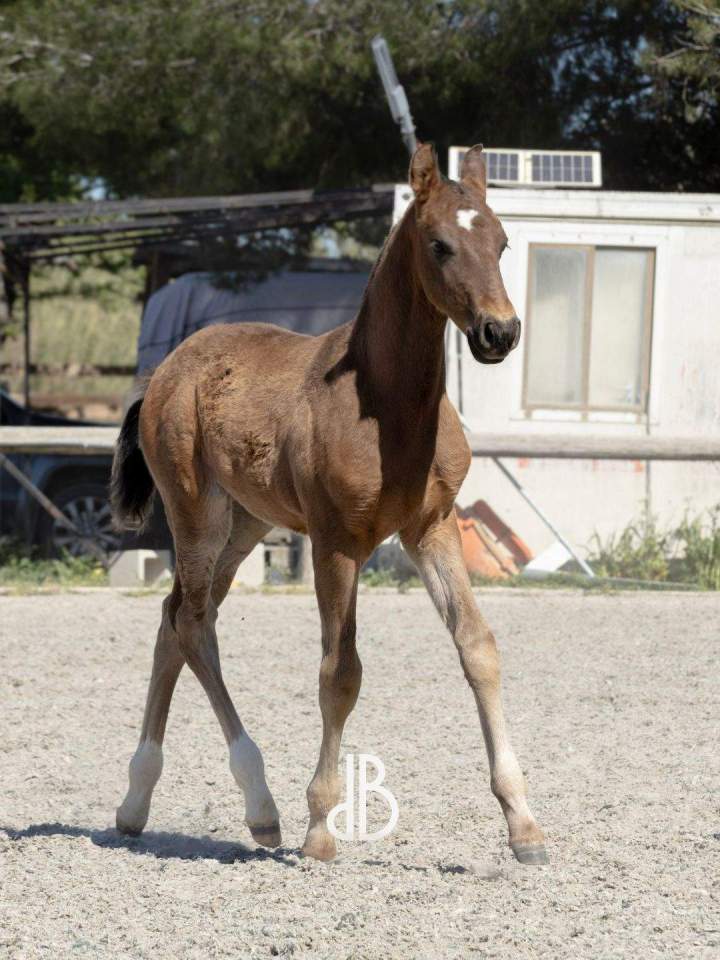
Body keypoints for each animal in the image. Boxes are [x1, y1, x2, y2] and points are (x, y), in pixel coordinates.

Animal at [110, 143, 548, 865]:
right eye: (440, 245)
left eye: (503, 241)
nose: (499, 332)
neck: (389, 407)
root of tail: (165, 371)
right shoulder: (336, 542)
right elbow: (341, 672)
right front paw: (319, 826)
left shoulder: (431, 529)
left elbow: (478, 648)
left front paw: (524, 824)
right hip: (195, 512)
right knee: (193, 625)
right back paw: (261, 807)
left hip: (245, 523)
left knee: (176, 619)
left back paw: (136, 801)